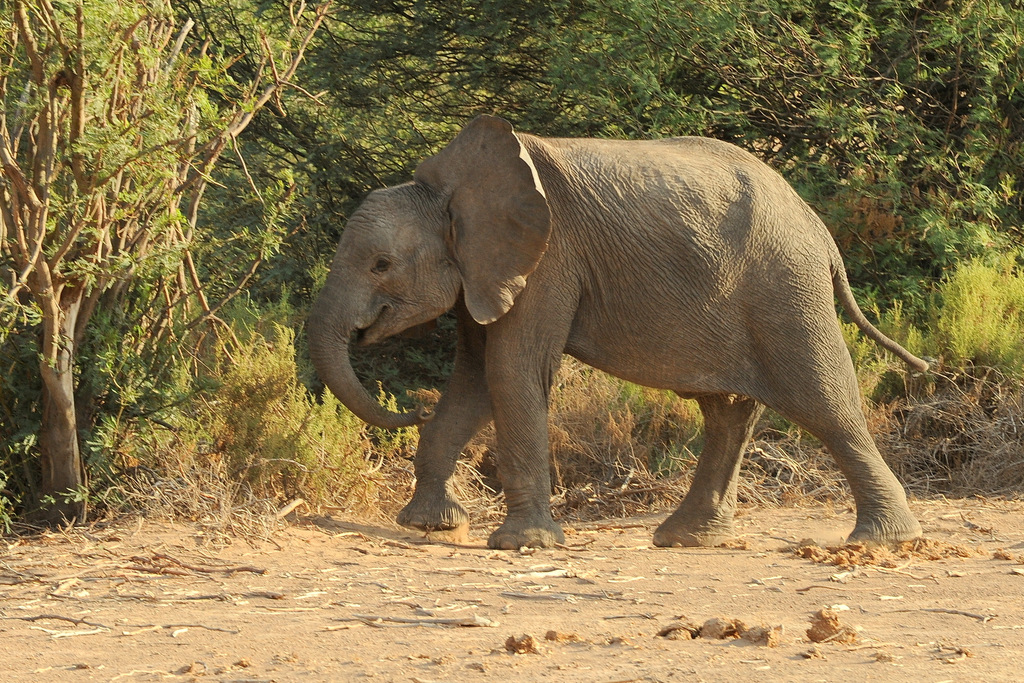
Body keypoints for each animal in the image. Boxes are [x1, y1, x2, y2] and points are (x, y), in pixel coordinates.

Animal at [305, 112, 929, 548]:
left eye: (381, 265)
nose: (411, 407)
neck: (451, 193)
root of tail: (820, 231)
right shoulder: (483, 270)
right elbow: (476, 380)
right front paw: (431, 527)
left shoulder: (549, 258)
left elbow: (511, 371)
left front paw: (522, 546)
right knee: (727, 408)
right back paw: (688, 539)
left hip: (784, 286)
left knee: (823, 401)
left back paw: (883, 540)